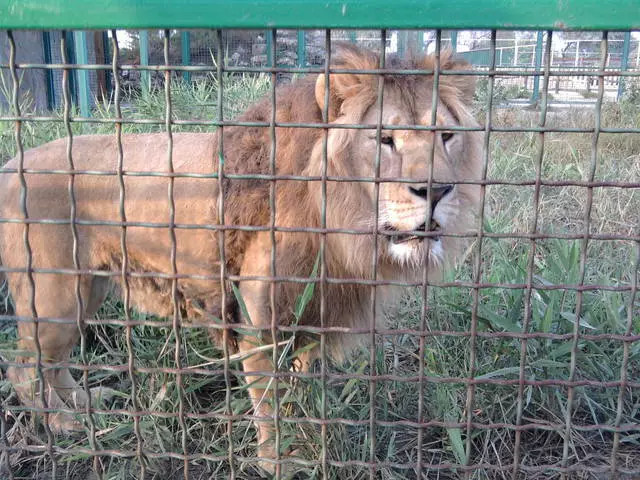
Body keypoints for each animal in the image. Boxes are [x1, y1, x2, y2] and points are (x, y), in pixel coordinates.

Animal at [0, 45, 480, 472]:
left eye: (446, 136)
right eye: (384, 139)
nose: (437, 191)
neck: (340, 227)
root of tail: (12, 162)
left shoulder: (311, 317)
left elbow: (299, 390)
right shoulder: (258, 322)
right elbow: (269, 403)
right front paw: (278, 461)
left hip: (88, 288)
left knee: (53, 361)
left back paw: (84, 401)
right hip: (56, 296)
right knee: (23, 367)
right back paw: (64, 423)